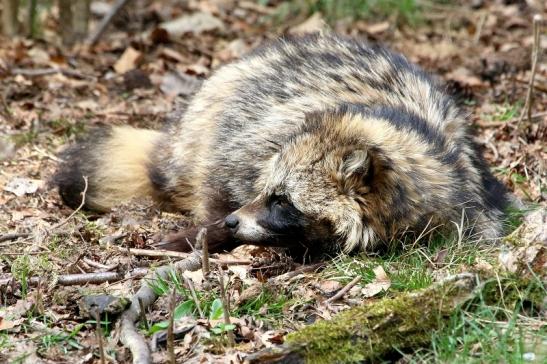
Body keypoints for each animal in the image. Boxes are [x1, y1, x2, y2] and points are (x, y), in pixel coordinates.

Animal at [54, 34, 510, 256]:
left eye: (283, 201)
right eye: (269, 192)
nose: (234, 222)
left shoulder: (470, 209)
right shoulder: (250, 141)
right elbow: (219, 182)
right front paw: (206, 232)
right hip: (214, 108)